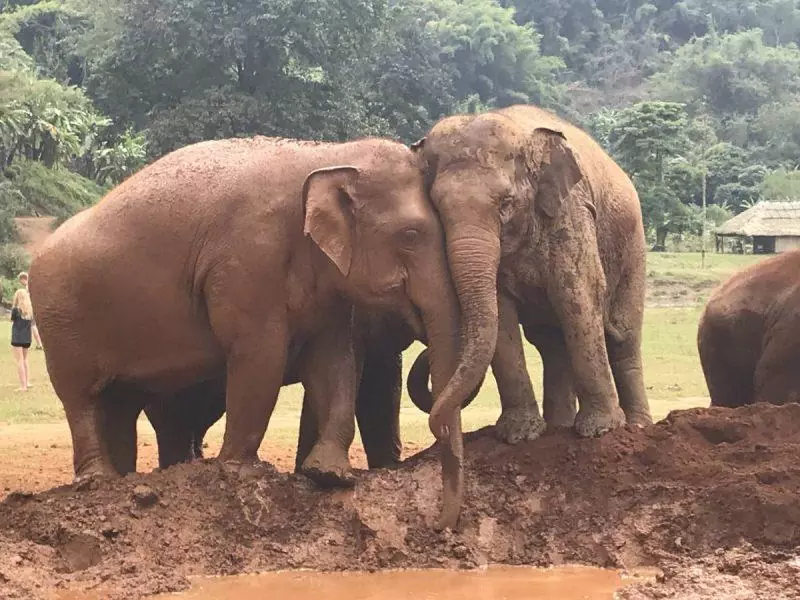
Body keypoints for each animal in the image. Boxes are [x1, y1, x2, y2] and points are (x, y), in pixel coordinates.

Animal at [28, 135, 488, 488]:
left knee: (122, 401)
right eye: (410, 235)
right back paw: (98, 480)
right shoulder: (247, 261)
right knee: (81, 398)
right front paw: (239, 471)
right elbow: (259, 355)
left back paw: (124, 480)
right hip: (59, 320)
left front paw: (329, 474)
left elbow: (334, 362)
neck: (326, 154)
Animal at [410, 105, 652, 528]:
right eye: (437, 210)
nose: (439, 431)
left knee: (622, 338)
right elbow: (503, 317)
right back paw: (558, 428)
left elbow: (578, 297)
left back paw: (635, 425)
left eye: (505, 204)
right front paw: (519, 436)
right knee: (552, 343)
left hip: (633, 247)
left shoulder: (571, 214)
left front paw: (600, 431)